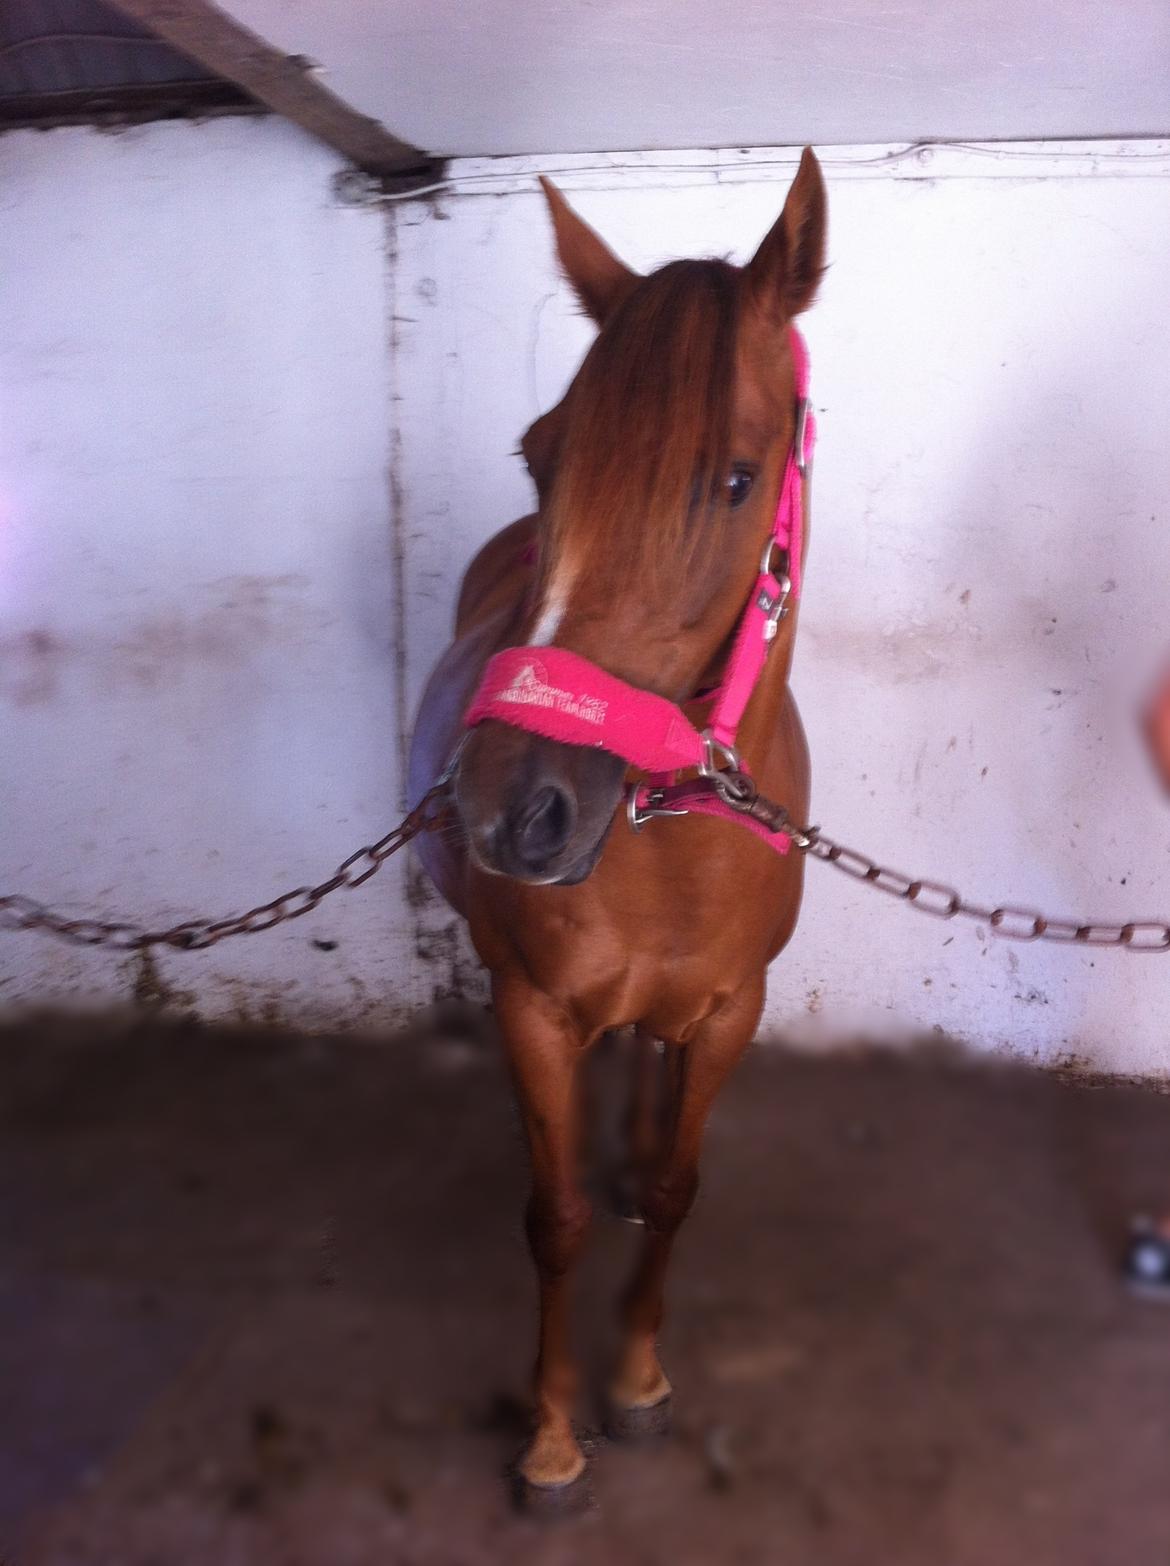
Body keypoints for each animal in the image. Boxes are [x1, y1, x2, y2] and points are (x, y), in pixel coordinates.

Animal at [408, 147, 827, 1510]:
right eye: (543, 458)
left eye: (736, 477)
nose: (510, 806)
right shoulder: (533, 1008)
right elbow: (553, 1220)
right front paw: (550, 1436)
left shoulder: (735, 1006)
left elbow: (680, 1186)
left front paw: (638, 1380)